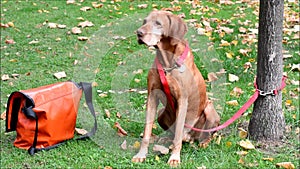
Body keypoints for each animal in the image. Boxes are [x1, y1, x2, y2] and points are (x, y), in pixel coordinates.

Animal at [131, 10, 220, 166]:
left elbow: (178, 133)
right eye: (145, 21)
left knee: (205, 134)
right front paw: (141, 154)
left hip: (209, 109)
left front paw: (174, 158)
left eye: (158, 23)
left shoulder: (182, 100)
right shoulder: (152, 97)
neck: (167, 62)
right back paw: (166, 139)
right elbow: (147, 130)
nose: (139, 33)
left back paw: (202, 141)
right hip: (161, 113)